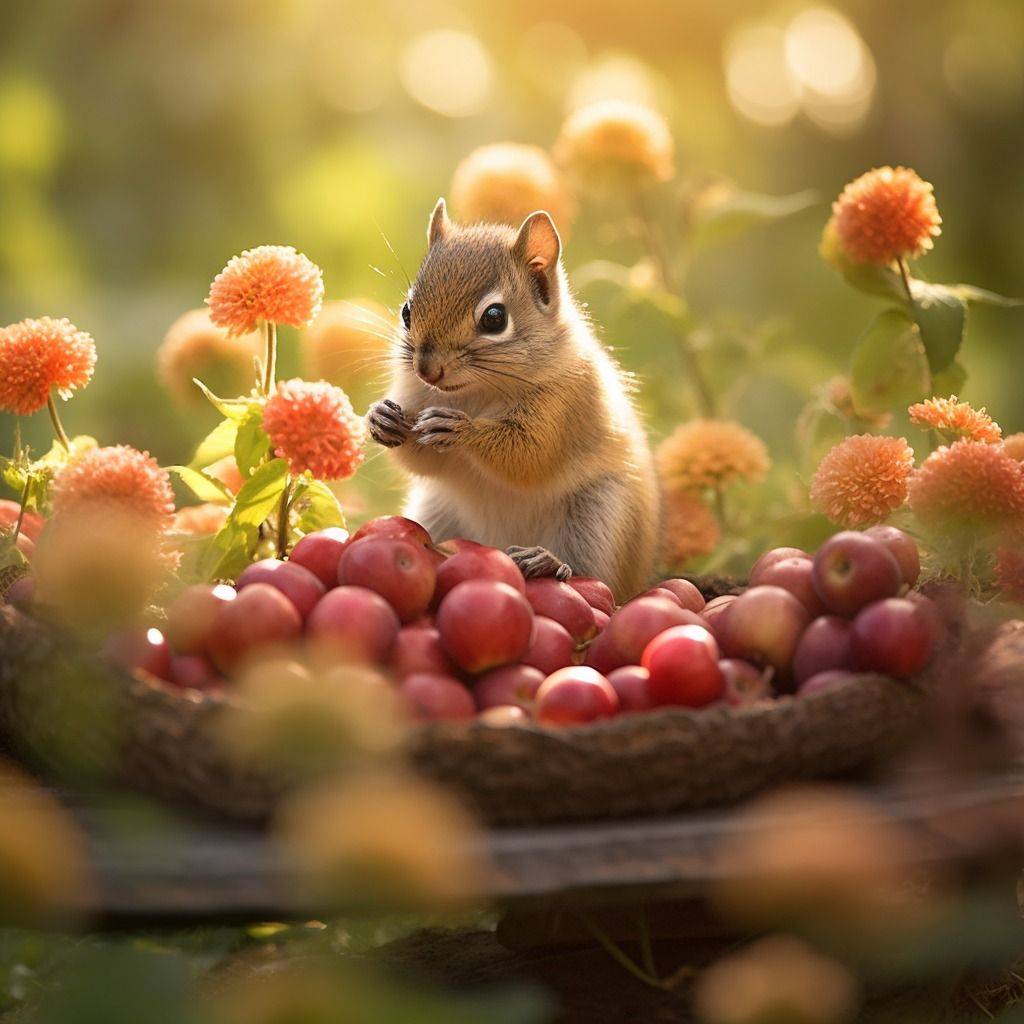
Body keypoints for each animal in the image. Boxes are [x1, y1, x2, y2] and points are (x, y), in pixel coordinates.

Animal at [367, 199, 660, 600]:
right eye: (407, 311)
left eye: (494, 318)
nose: (427, 370)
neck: (475, 394)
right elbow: (424, 463)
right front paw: (381, 418)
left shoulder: (562, 405)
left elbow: (528, 454)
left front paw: (460, 430)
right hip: (436, 513)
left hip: (599, 520)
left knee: (594, 574)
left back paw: (547, 560)